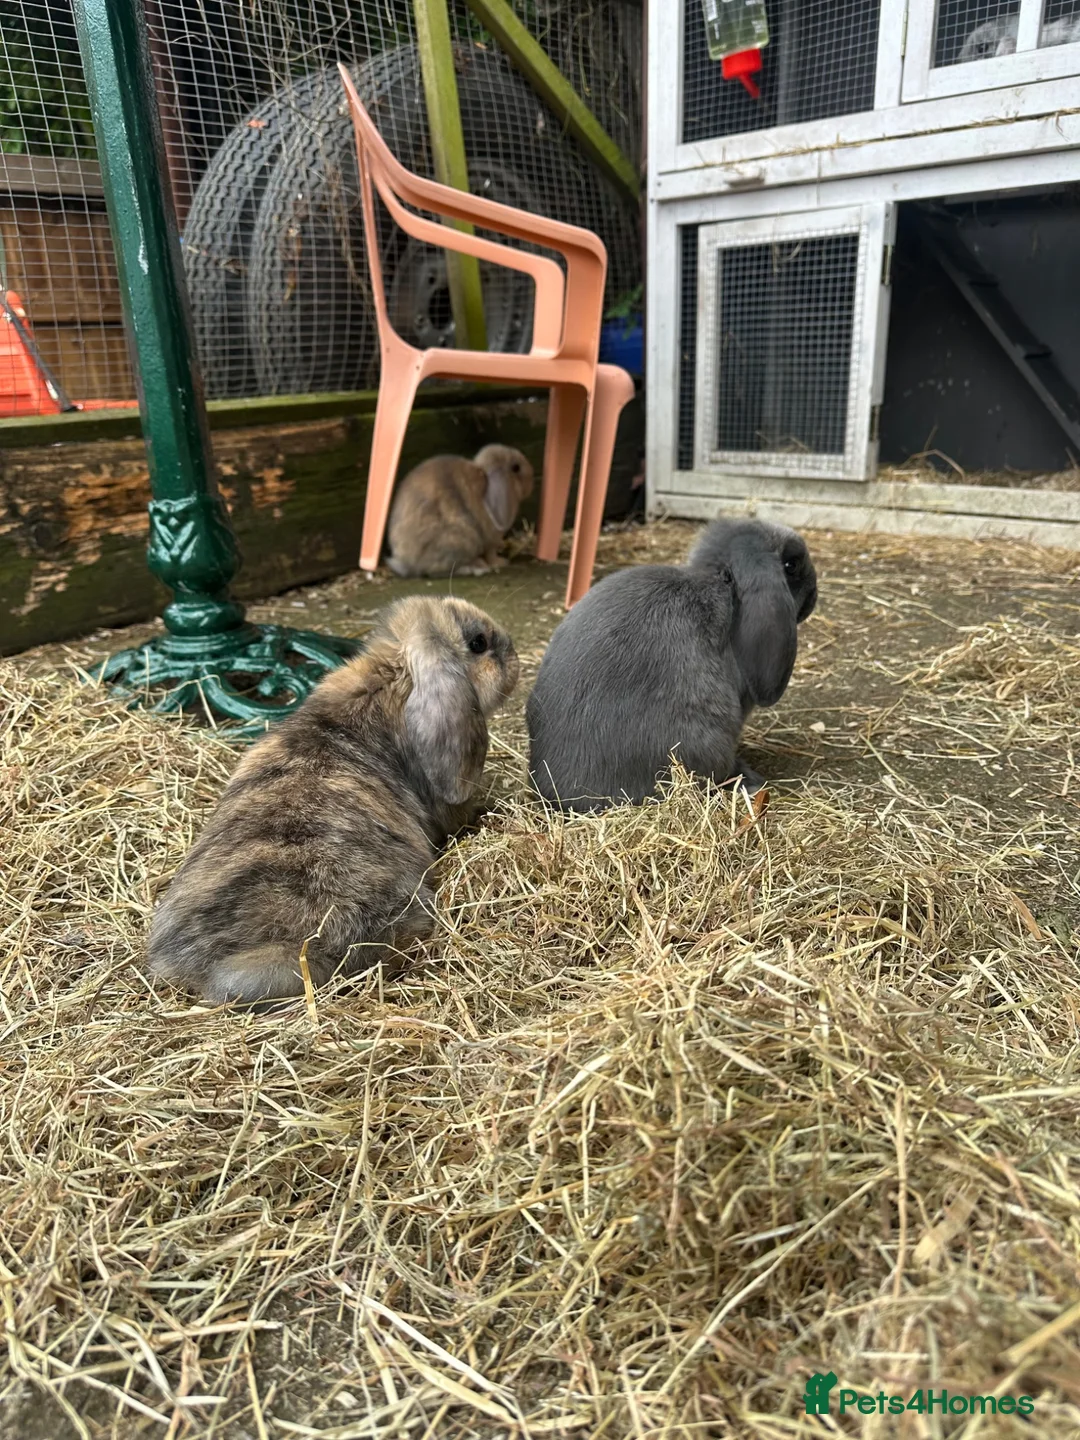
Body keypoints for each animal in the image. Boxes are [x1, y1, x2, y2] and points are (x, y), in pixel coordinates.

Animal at [386, 444, 535, 578]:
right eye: (516, 468)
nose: (531, 477)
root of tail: (407, 564)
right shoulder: (491, 540)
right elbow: (491, 554)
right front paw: (501, 562)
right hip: (462, 539)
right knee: (435, 571)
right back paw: (474, 567)